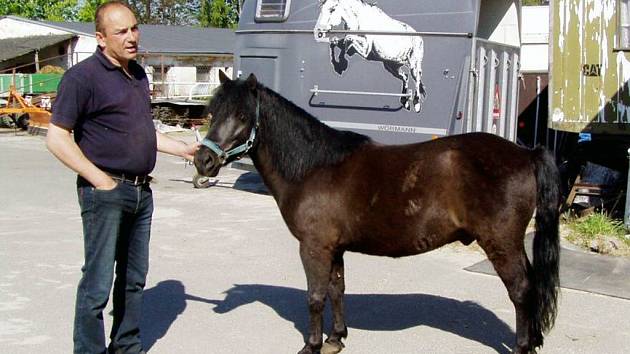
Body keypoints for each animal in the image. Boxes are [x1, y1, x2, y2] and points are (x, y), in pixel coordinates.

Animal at [196, 72, 564, 354]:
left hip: (500, 243)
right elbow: (336, 289)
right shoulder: (335, 248)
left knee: (520, 290)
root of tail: (526, 154)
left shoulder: (314, 247)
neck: (314, 167)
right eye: (213, 112)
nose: (204, 160)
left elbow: (315, 297)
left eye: (243, 117)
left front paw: (311, 345)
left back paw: (521, 347)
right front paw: (335, 338)